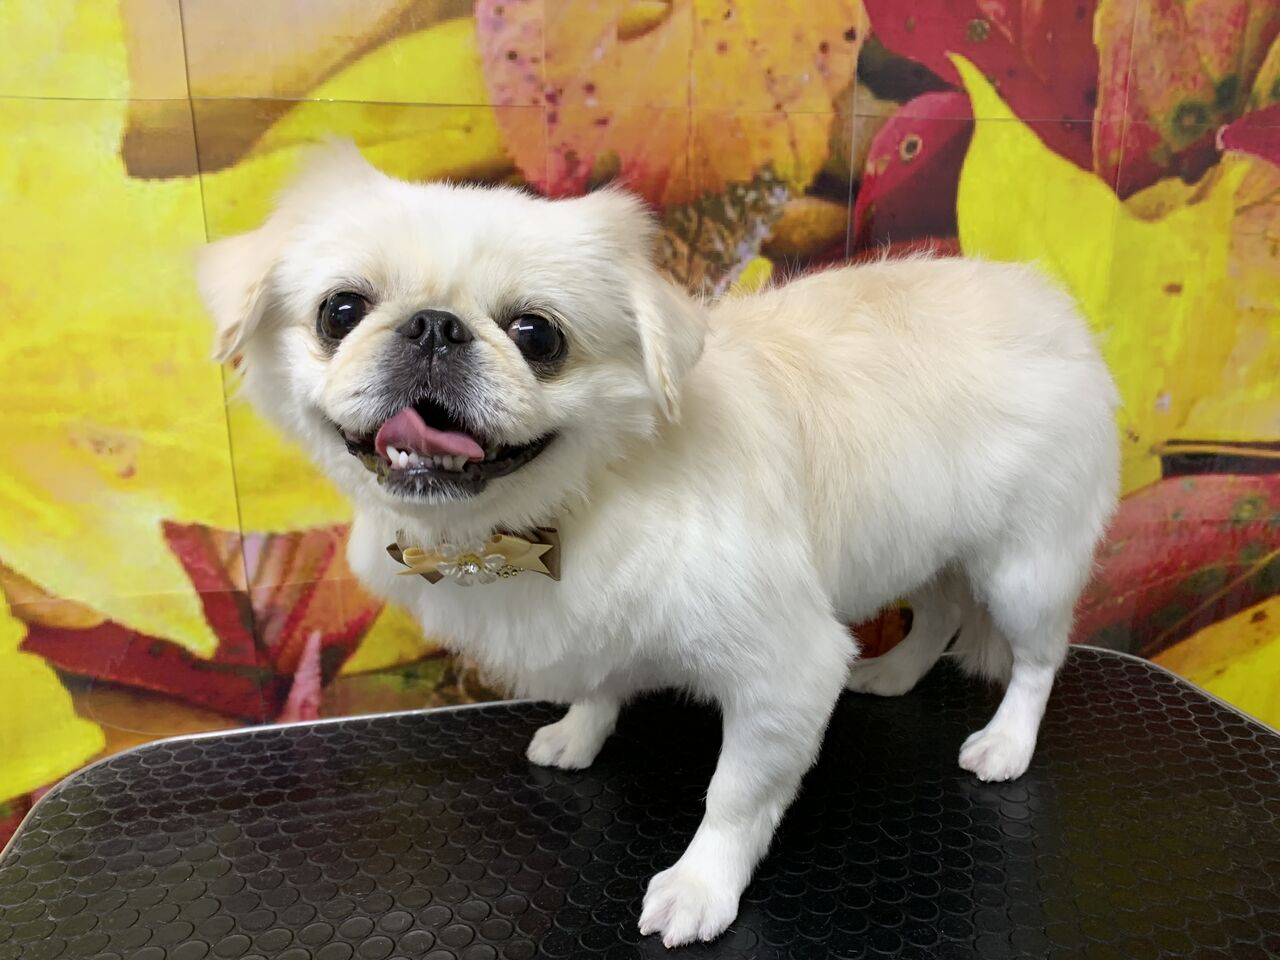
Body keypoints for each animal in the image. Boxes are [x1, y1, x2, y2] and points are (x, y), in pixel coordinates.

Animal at [196, 141, 1119, 947]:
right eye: (341, 311)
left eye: (537, 335)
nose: (432, 326)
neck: (560, 507)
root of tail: (1053, 308)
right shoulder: (599, 617)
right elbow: (602, 683)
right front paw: (578, 735)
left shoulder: (786, 668)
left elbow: (735, 795)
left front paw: (701, 888)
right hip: (928, 540)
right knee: (937, 614)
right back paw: (893, 673)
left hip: (1025, 567)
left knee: (1037, 660)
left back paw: (1005, 744)